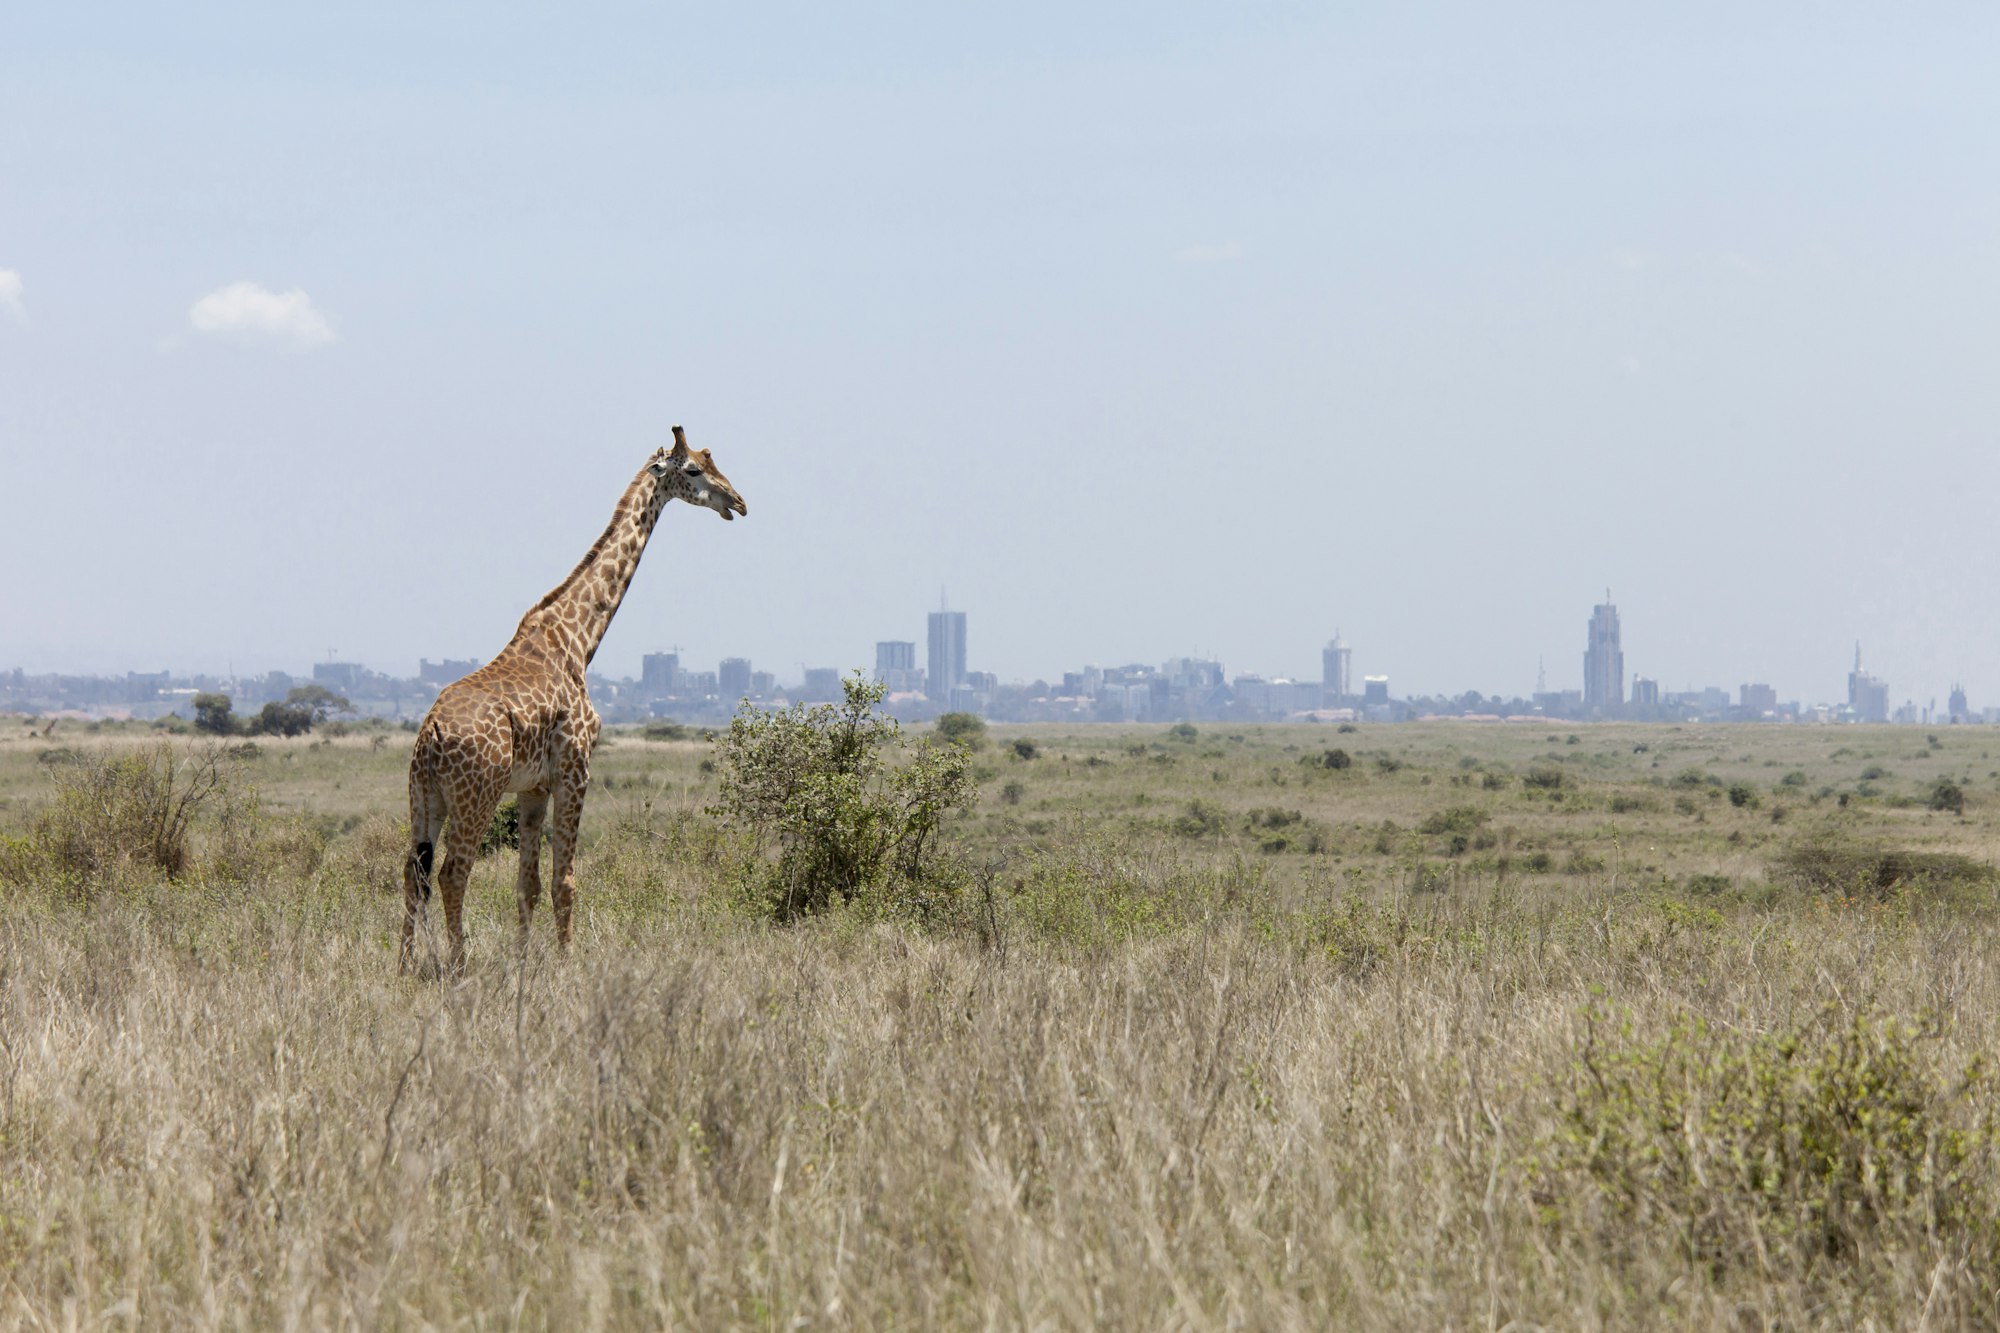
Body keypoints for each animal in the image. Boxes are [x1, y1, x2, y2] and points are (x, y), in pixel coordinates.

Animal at [402, 426, 748, 964]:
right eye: (693, 469)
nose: (738, 501)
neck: (580, 639)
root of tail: (431, 735)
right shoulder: (575, 768)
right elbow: (564, 882)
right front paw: (568, 965)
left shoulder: (533, 787)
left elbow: (527, 885)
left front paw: (524, 962)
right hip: (476, 795)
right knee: (451, 873)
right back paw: (459, 965)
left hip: (424, 797)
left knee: (411, 874)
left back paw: (403, 966)